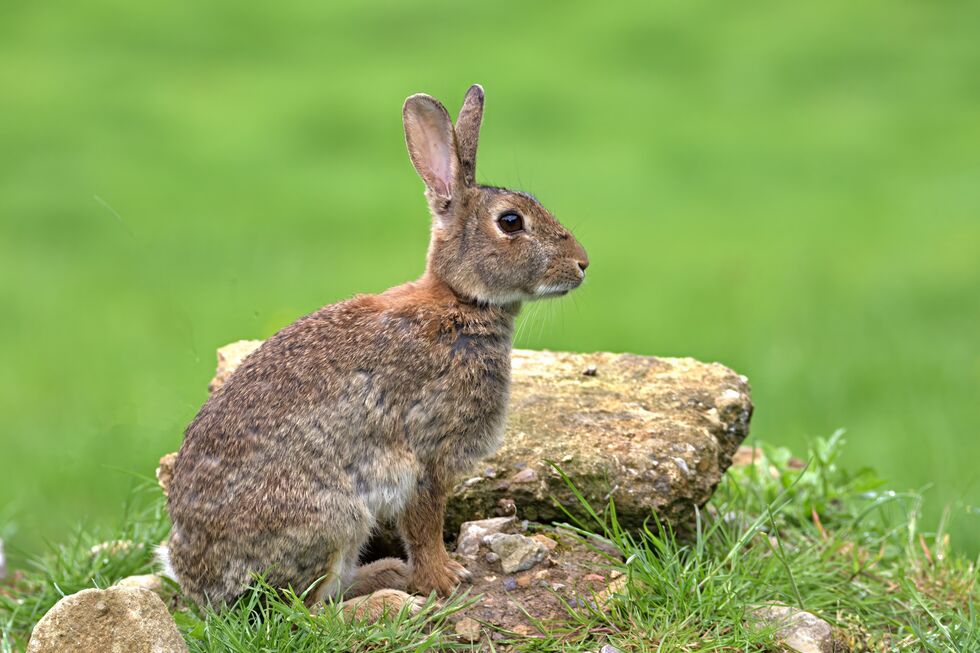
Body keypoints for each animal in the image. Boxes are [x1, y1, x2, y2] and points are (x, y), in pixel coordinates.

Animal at [164, 84, 589, 615]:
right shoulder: (428, 454)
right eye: (511, 222)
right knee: (305, 605)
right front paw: (445, 578)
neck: (459, 302)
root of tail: (196, 582)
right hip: (335, 519)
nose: (582, 263)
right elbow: (425, 525)